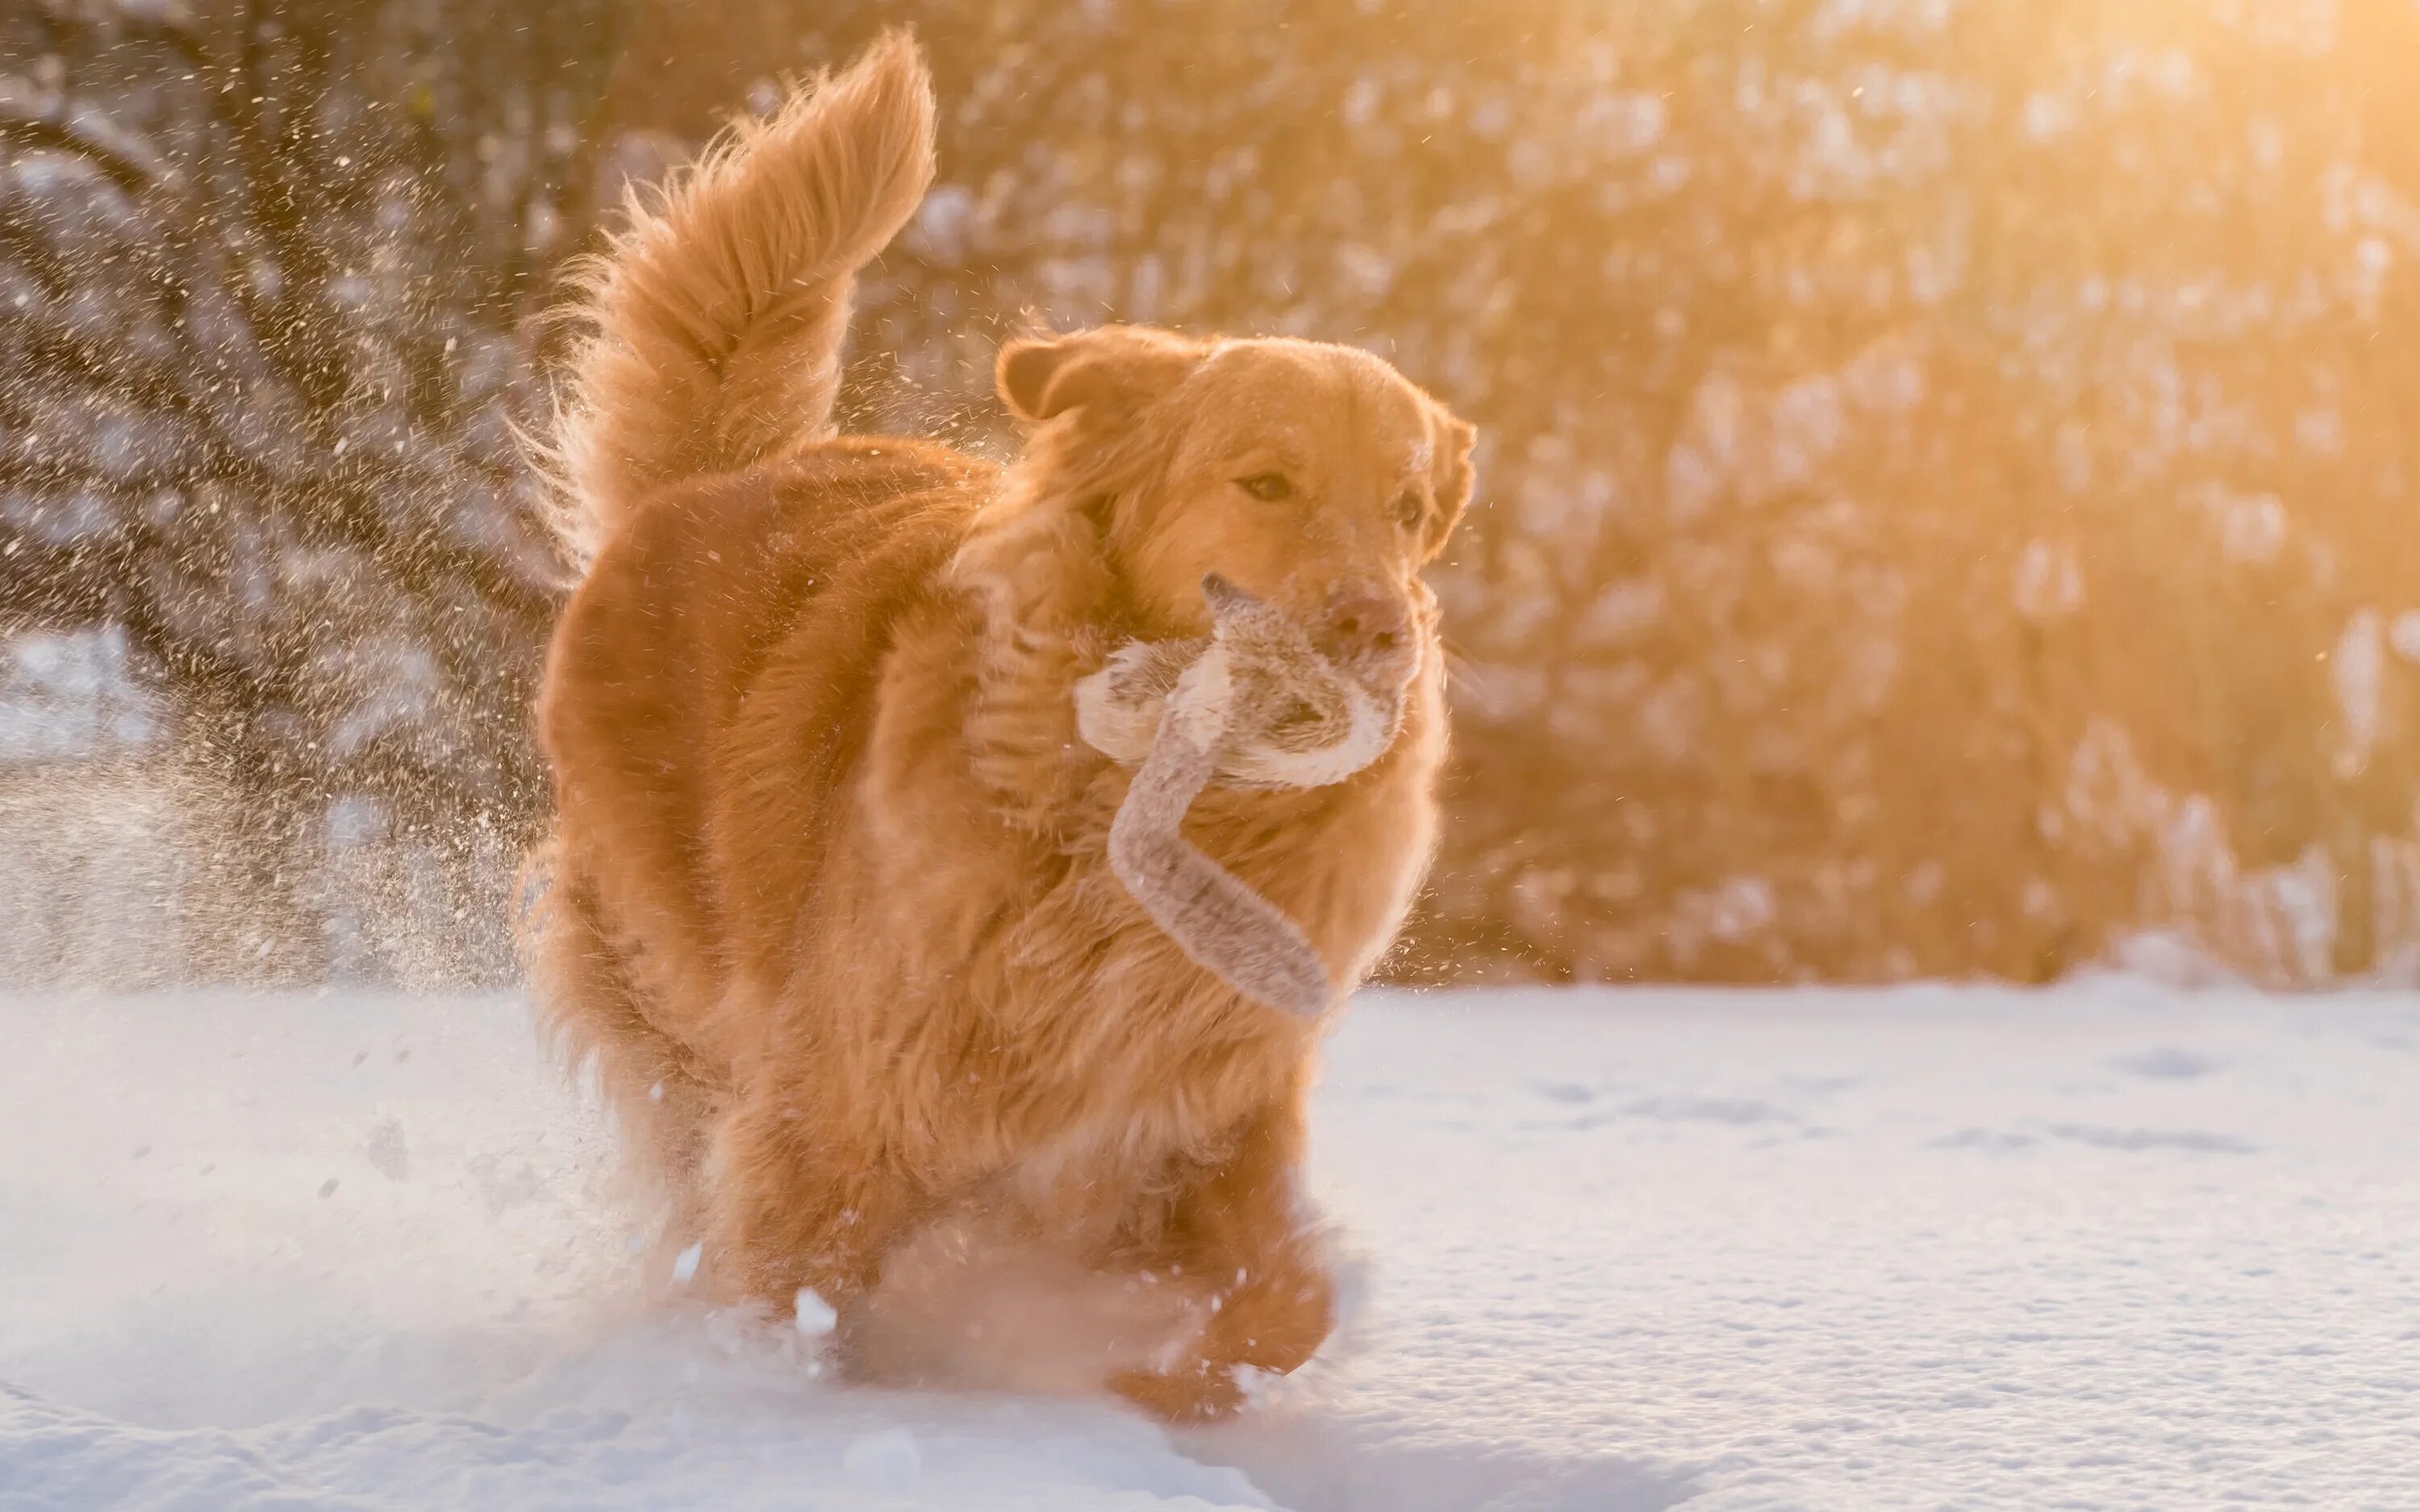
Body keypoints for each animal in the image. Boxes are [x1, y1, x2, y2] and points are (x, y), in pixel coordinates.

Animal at [530, 29, 1471, 1422]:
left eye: (1407, 508)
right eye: (1265, 482)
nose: (1378, 626)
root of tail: (714, 479)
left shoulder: (1204, 1102)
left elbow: (1287, 1301)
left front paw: (1154, 1387)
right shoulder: (845, 1097)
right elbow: (787, 1288)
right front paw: (775, 1413)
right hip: (672, 984)